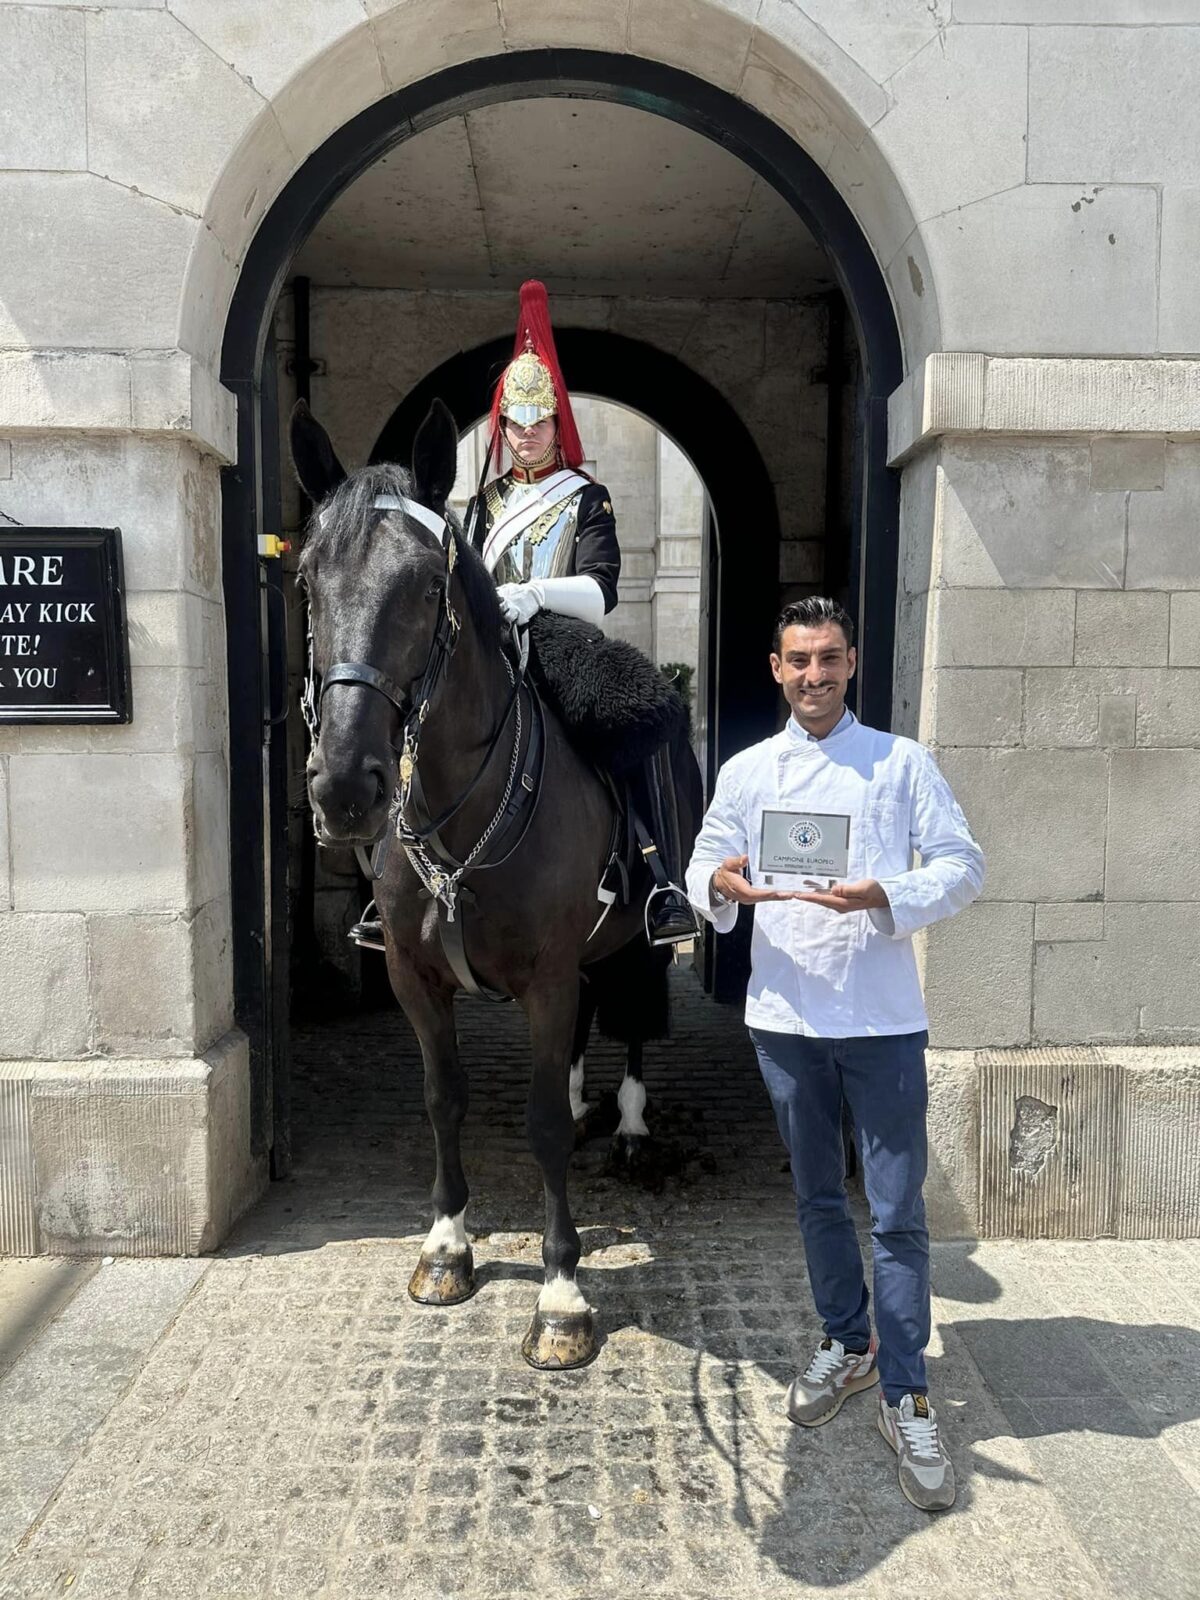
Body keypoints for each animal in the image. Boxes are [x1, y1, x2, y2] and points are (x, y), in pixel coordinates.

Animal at [290, 398, 699, 1370]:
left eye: (422, 586)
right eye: (308, 581)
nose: (344, 788)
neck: (461, 802)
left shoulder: (544, 977)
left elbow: (541, 1122)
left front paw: (560, 1295)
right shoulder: (416, 977)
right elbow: (445, 1100)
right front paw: (446, 1246)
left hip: (635, 939)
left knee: (632, 1015)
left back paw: (629, 1123)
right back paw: (593, 1102)